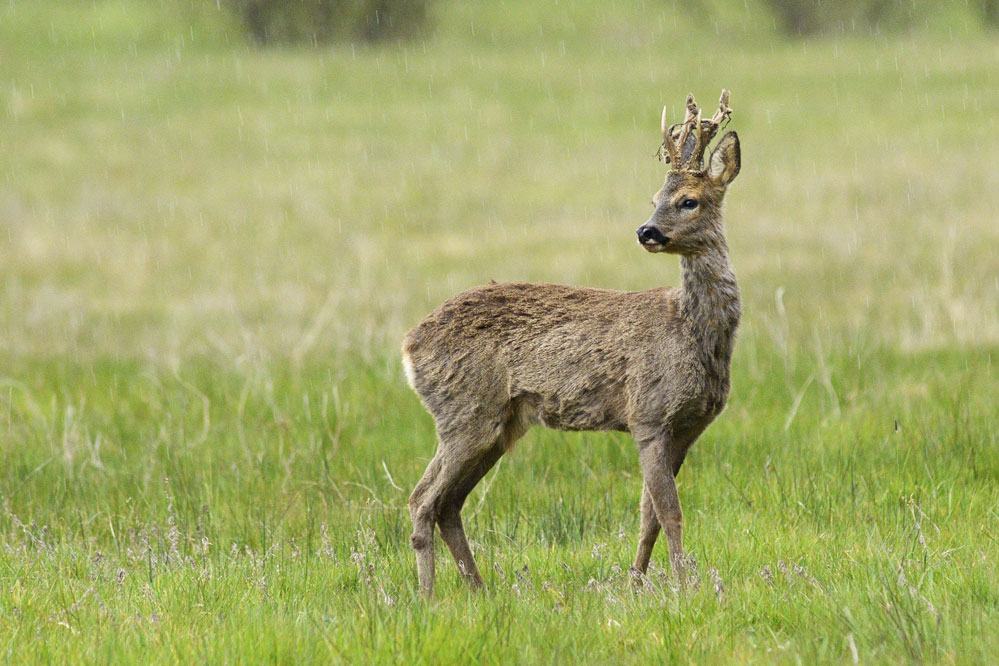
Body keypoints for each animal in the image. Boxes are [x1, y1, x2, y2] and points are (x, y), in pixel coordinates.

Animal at [402, 91, 740, 592]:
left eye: (688, 201)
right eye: (654, 198)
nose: (646, 231)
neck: (691, 331)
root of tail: (408, 346)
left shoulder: (689, 426)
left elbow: (649, 516)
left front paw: (636, 582)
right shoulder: (648, 414)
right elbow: (670, 513)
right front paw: (685, 586)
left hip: (499, 424)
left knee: (448, 504)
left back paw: (478, 590)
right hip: (464, 412)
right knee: (422, 499)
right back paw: (428, 595)